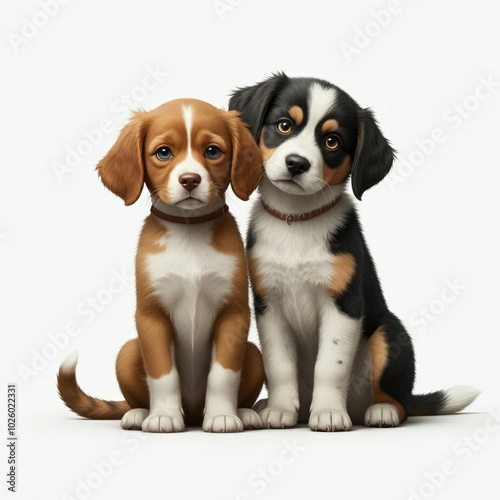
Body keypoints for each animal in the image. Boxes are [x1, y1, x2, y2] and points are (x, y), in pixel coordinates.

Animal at [58, 98, 266, 434]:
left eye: (212, 151)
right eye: (164, 152)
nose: (190, 180)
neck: (189, 232)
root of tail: (193, 413)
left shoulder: (233, 313)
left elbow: (223, 374)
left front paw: (222, 415)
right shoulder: (151, 315)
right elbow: (162, 373)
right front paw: (163, 416)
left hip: (254, 353)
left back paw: (245, 413)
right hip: (128, 351)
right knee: (135, 393)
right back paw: (138, 414)